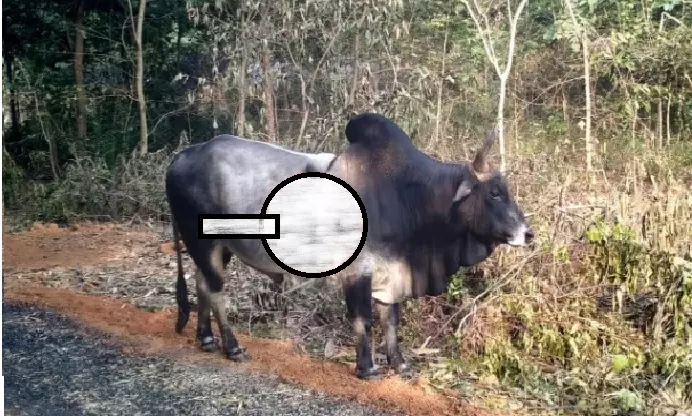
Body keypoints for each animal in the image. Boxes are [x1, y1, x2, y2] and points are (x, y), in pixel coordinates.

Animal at [165, 113, 534, 380]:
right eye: (494, 193)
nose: (528, 234)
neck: (407, 195)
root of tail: (182, 156)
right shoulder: (358, 271)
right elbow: (364, 319)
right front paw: (367, 368)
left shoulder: (391, 272)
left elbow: (391, 320)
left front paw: (400, 365)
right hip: (204, 243)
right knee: (216, 292)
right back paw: (232, 346)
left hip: (217, 248)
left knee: (202, 285)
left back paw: (206, 339)